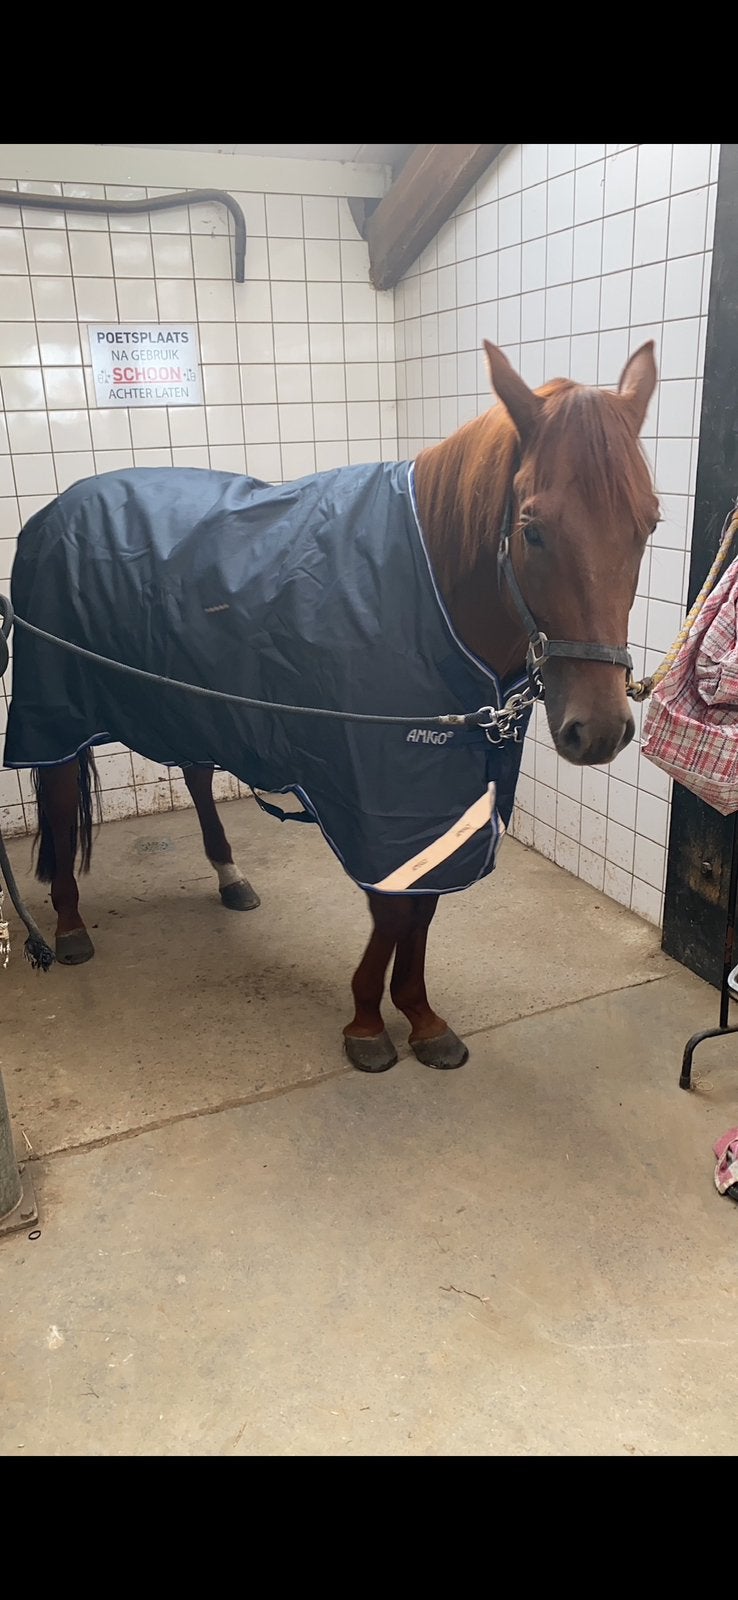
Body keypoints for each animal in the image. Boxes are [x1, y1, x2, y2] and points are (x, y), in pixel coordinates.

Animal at [4, 339, 659, 1073]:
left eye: (648, 524)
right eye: (533, 530)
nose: (599, 729)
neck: (427, 596)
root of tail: (53, 513)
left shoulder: (445, 800)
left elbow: (422, 910)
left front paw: (422, 1017)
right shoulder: (378, 805)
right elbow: (392, 912)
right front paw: (369, 1023)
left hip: (192, 700)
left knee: (195, 775)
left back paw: (229, 876)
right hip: (55, 703)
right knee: (59, 791)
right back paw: (68, 925)